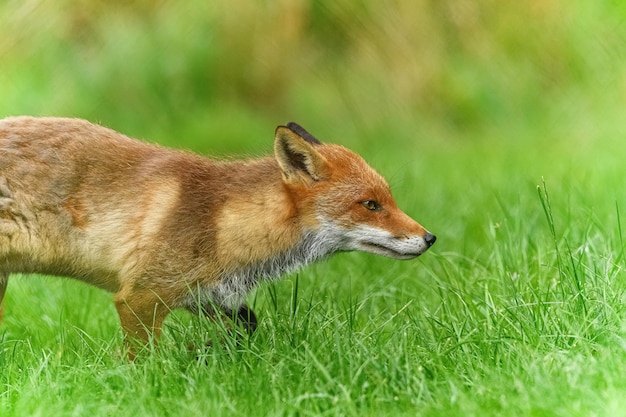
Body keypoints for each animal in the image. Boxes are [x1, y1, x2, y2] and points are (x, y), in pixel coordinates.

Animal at [0, 117, 434, 354]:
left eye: (388, 199)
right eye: (370, 205)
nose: (430, 238)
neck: (222, 223)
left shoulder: (209, 293)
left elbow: (249, 324)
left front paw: (208, 352)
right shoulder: (141, 296)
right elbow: (145, 361)